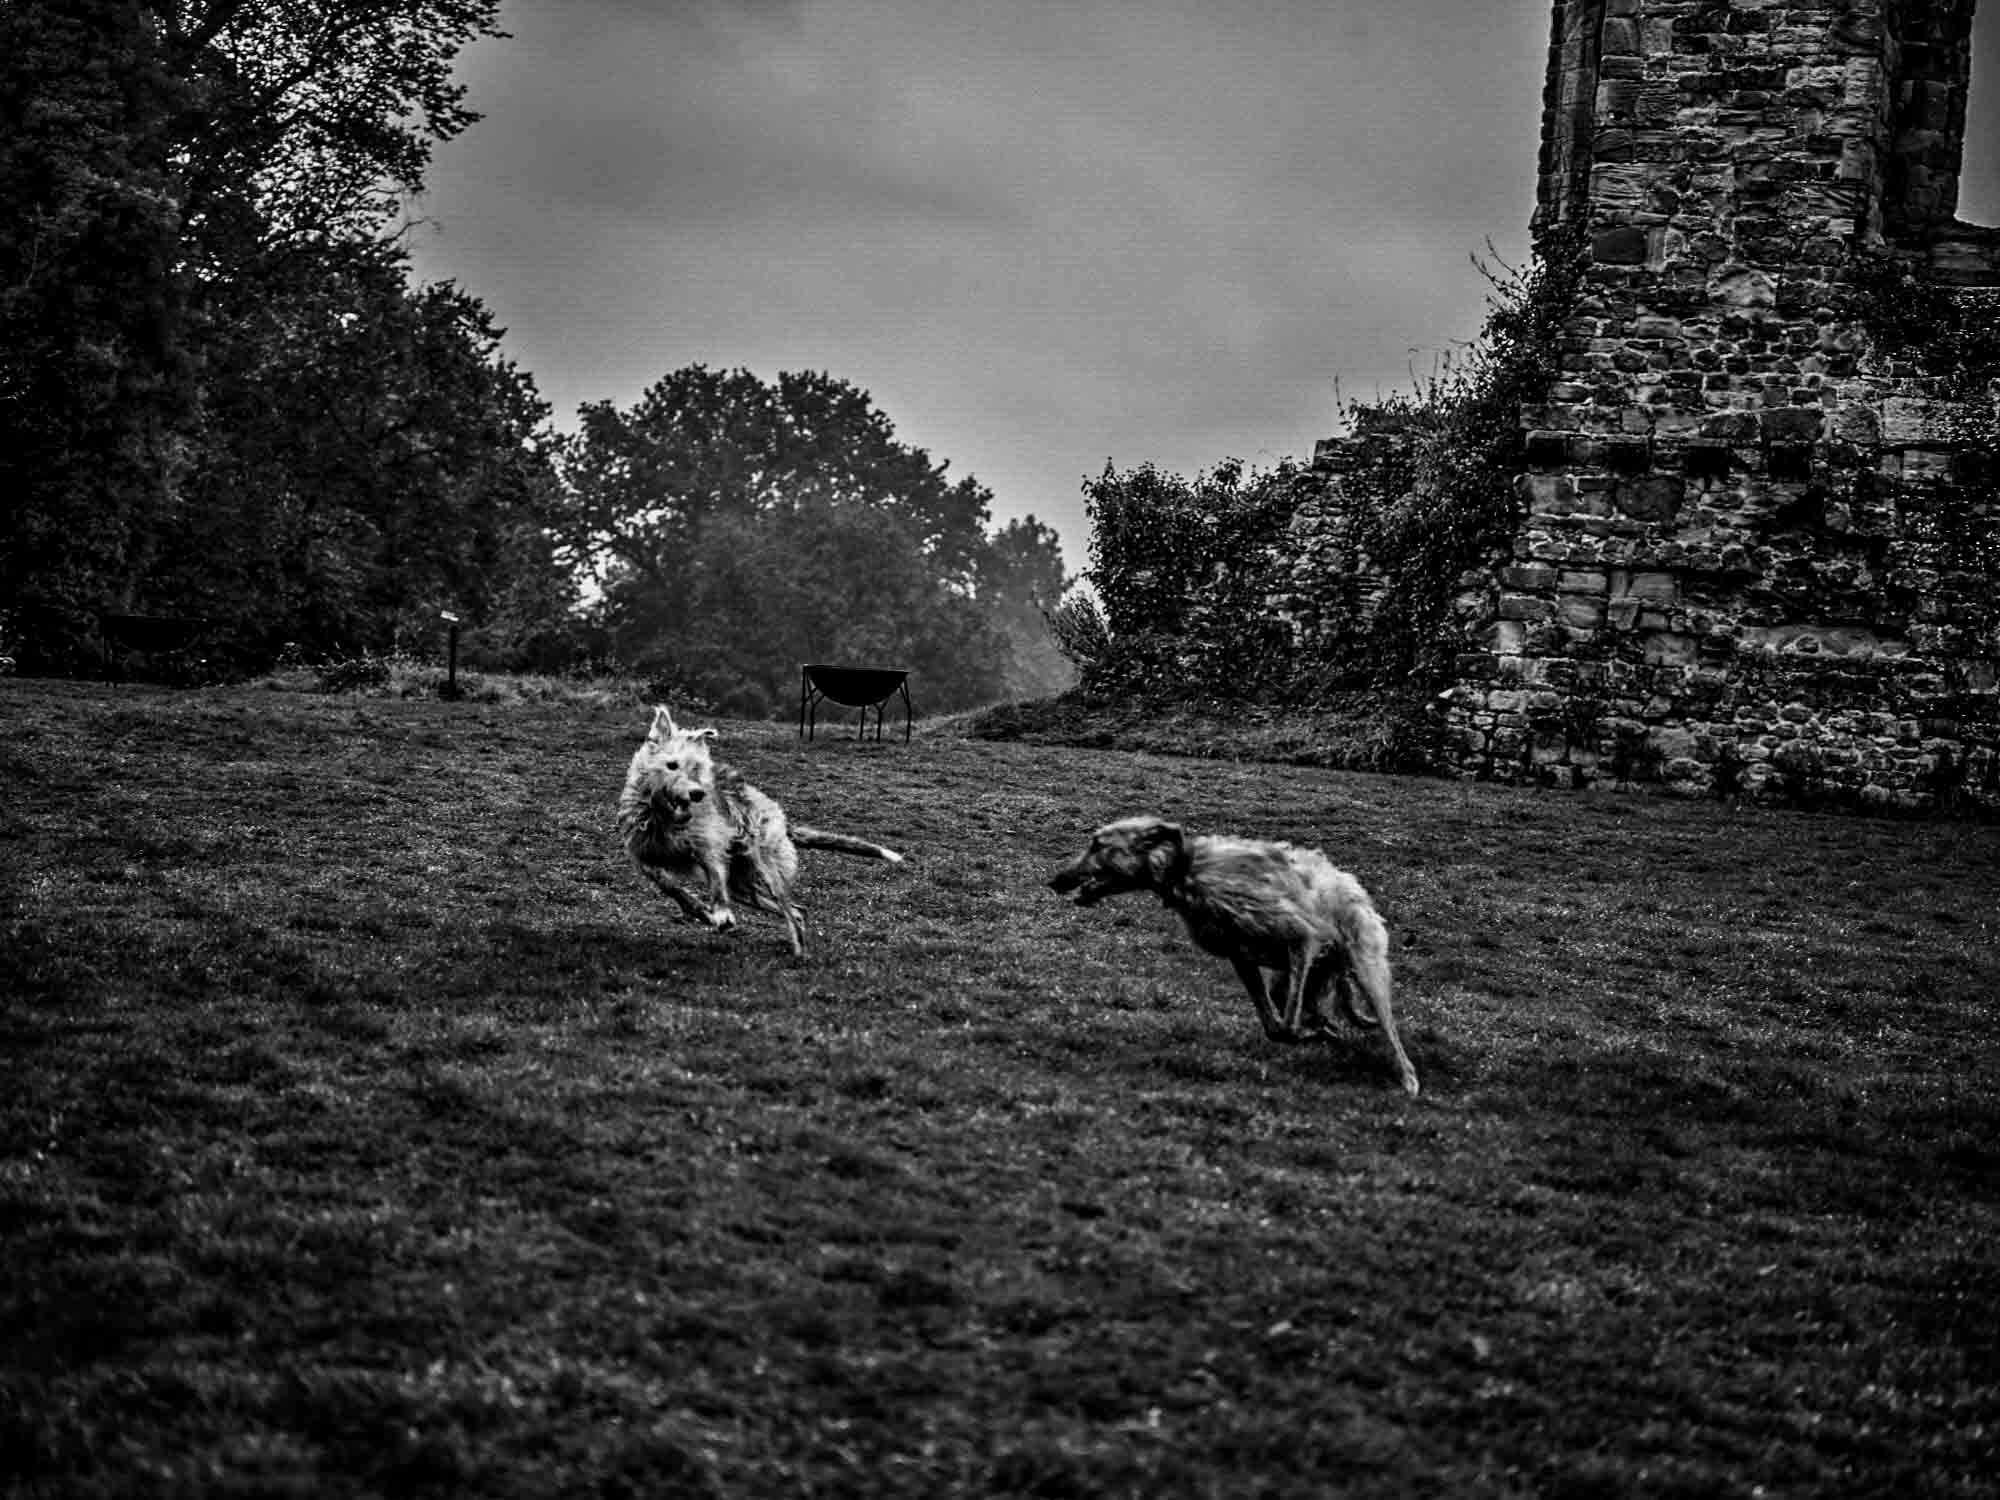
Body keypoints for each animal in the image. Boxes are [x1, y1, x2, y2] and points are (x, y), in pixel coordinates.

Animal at [618, 706, 903, 957]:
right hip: (743, 887)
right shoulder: (643, 855)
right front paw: (698, 909)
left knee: (791, 910)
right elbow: (669, 885)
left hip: (766, 870)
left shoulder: (710, 849)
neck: (664, 819)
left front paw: (720, 913)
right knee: (798, 910)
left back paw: (800, 952)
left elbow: (715, 880)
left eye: (697, 768)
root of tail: (782, 820)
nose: (698, 794)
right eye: (672, 765)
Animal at [1049, 815, 1419, 1096]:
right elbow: (1274, 1026)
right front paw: (1317, 1031)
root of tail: (1349, 882)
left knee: (1390, 1032)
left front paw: (1309, 1033)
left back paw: (1407, 1078)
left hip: (1364, 968)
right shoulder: (1242, 959)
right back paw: (1326, 1024)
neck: (1186, 870)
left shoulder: (1302, 938)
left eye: (1098, 845)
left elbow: (1287, 1025)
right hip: (1301, 976)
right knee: (1310, 1000)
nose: (1054, 881)